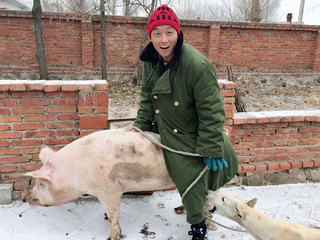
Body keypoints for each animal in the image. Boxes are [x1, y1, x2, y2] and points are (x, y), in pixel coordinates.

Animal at [21, 129, 175, 240]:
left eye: (41, 184)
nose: (24, 196)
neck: (73, 174)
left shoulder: (110, 190)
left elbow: (113, 217)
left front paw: (111, 238)